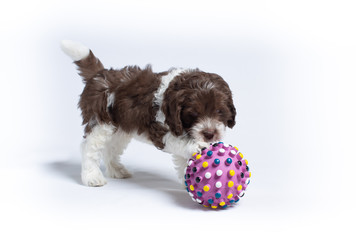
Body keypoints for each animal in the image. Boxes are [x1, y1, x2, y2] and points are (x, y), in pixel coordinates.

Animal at [60, 39, 236, 187]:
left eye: (220, 111)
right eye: (193, 114)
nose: (209, 134)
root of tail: (99, 75)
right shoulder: (160, 130)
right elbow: (179, 143)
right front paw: (197, 147)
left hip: (121, 127)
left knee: (111, 147)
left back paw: (117, 170)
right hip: (100, 121)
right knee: (89, 147)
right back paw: (92, 177)